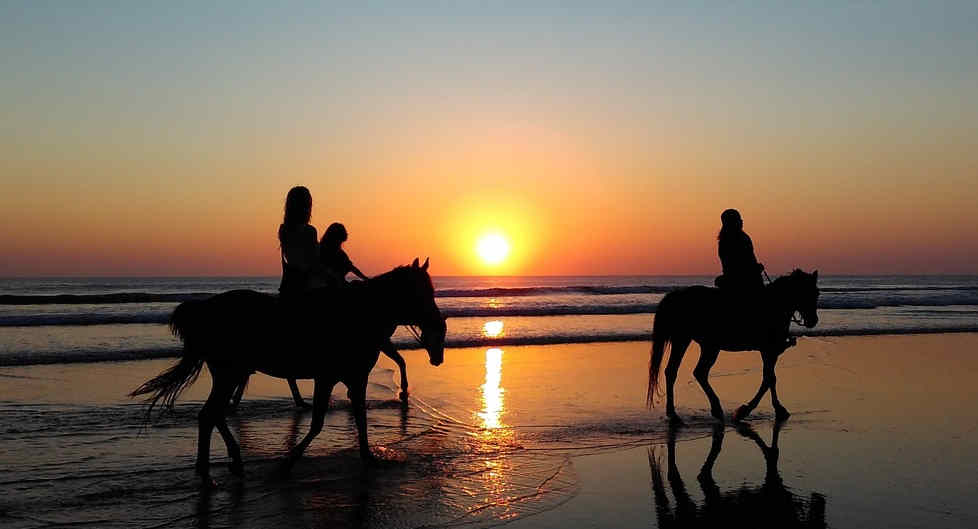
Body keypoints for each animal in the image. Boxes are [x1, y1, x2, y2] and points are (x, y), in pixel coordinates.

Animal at [132, 258, 444, 484]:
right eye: (422, 292)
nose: (438, 324)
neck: (359, 314)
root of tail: (204, 309)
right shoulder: (328, 378)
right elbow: (319, 422)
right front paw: (289, 462)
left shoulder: (355, 379)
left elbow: (360, 418)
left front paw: (368, 457)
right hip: (230, 373)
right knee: (211, 414)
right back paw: (211, 472)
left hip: (230, 373)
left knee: (212, 414)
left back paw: (226, 463)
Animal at [644, 268, 820, 420]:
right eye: (806, 292)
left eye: (816, 293)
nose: (813, 320)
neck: (775, 305)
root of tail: (676, 295)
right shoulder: (769, 350)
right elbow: (769, 378)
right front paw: (748, 410)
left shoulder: (769, 352)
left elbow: (770, 378)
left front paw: (774, 408)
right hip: (699, 344)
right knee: (695, 372)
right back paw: (710, 409)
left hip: (694, 342)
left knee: (677, 371)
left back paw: (675, 413)